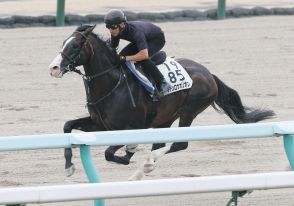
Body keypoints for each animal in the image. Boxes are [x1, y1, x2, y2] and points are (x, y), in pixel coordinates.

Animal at [48, 24, 276, 177]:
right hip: (166, 117)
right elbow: (67, 126)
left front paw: (129, 154)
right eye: (63, 43)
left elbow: (110, 153)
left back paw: (147, 165)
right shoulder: (100, 125)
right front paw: (68, 166)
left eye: (76, 45)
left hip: (189, 111)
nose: (54, 68)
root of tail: (209, 74)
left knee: (178, 144)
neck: (112, 84)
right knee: (162, 143)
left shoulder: (130, 128)